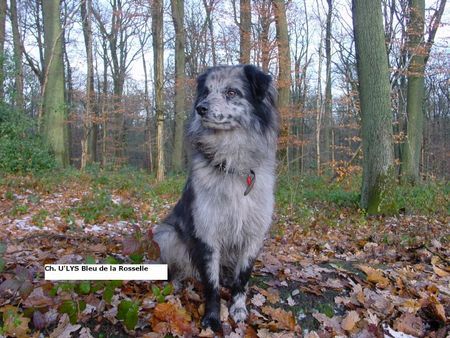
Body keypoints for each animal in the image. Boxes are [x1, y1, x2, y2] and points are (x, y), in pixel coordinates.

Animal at [154, 64, 278, 332]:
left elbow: (242, 279)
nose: (201, 108)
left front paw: (238, 309)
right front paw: (212, 318)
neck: (232, 165)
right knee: (178, 268)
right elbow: (211, 285)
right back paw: (177, 284)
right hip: (167, 235)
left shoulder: (253, 235)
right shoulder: (207, 233)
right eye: (207, 91)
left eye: (232, 92)